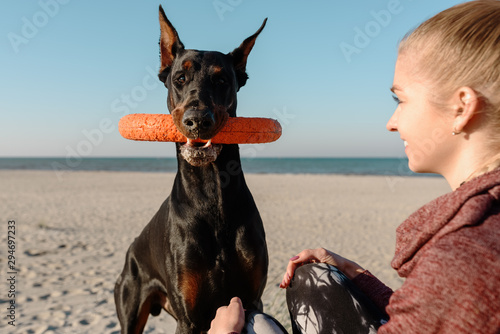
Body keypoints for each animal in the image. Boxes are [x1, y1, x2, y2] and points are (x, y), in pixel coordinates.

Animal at [114, 5, 270, 334]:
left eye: (222, 81)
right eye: (180, 78)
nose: (198, 119)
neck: (211, 193)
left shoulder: (251, 301)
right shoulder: (190, 317)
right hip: (130, 305)